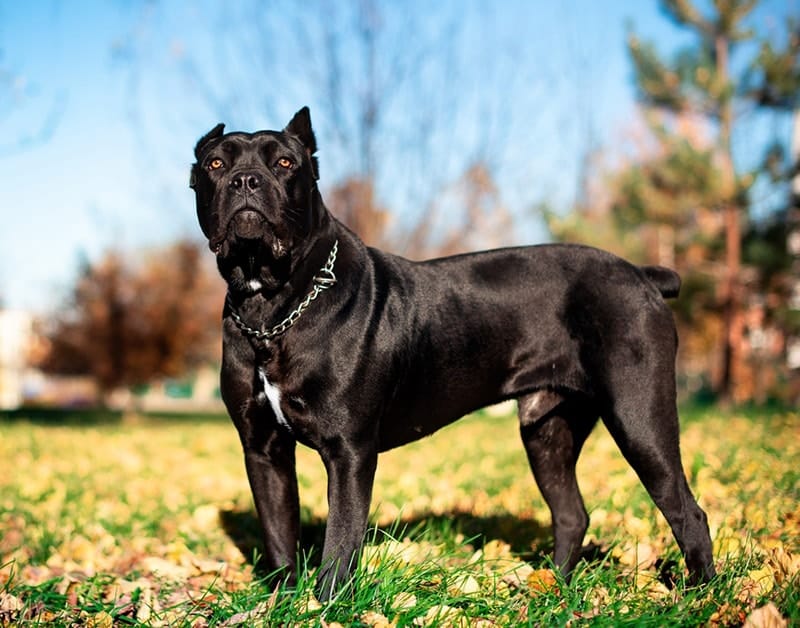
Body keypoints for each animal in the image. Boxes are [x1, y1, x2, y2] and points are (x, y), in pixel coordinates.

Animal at [191, 106, 716, 600]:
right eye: (216, 163)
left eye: (284, 163)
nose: (245, 180)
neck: (271, 308)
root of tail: (643, 275)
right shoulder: (263, 449)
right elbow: (279, 534)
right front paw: (283, 602)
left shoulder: (348, 451)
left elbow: (340, 542)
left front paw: (326, 606)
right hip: (546, 429)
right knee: (572, 514)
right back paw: (552, 589)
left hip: (638, 416)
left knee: (688, 512)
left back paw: (702, 595)